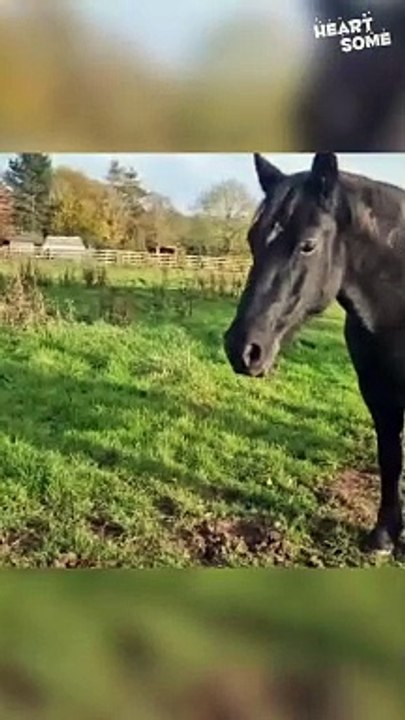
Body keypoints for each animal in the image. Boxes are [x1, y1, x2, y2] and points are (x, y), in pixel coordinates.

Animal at [224, 152, 405, 553]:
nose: (241, 349)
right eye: (252, 239)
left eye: (308, 244)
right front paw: (384, 536)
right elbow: (390, 457)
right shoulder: (377, 391)